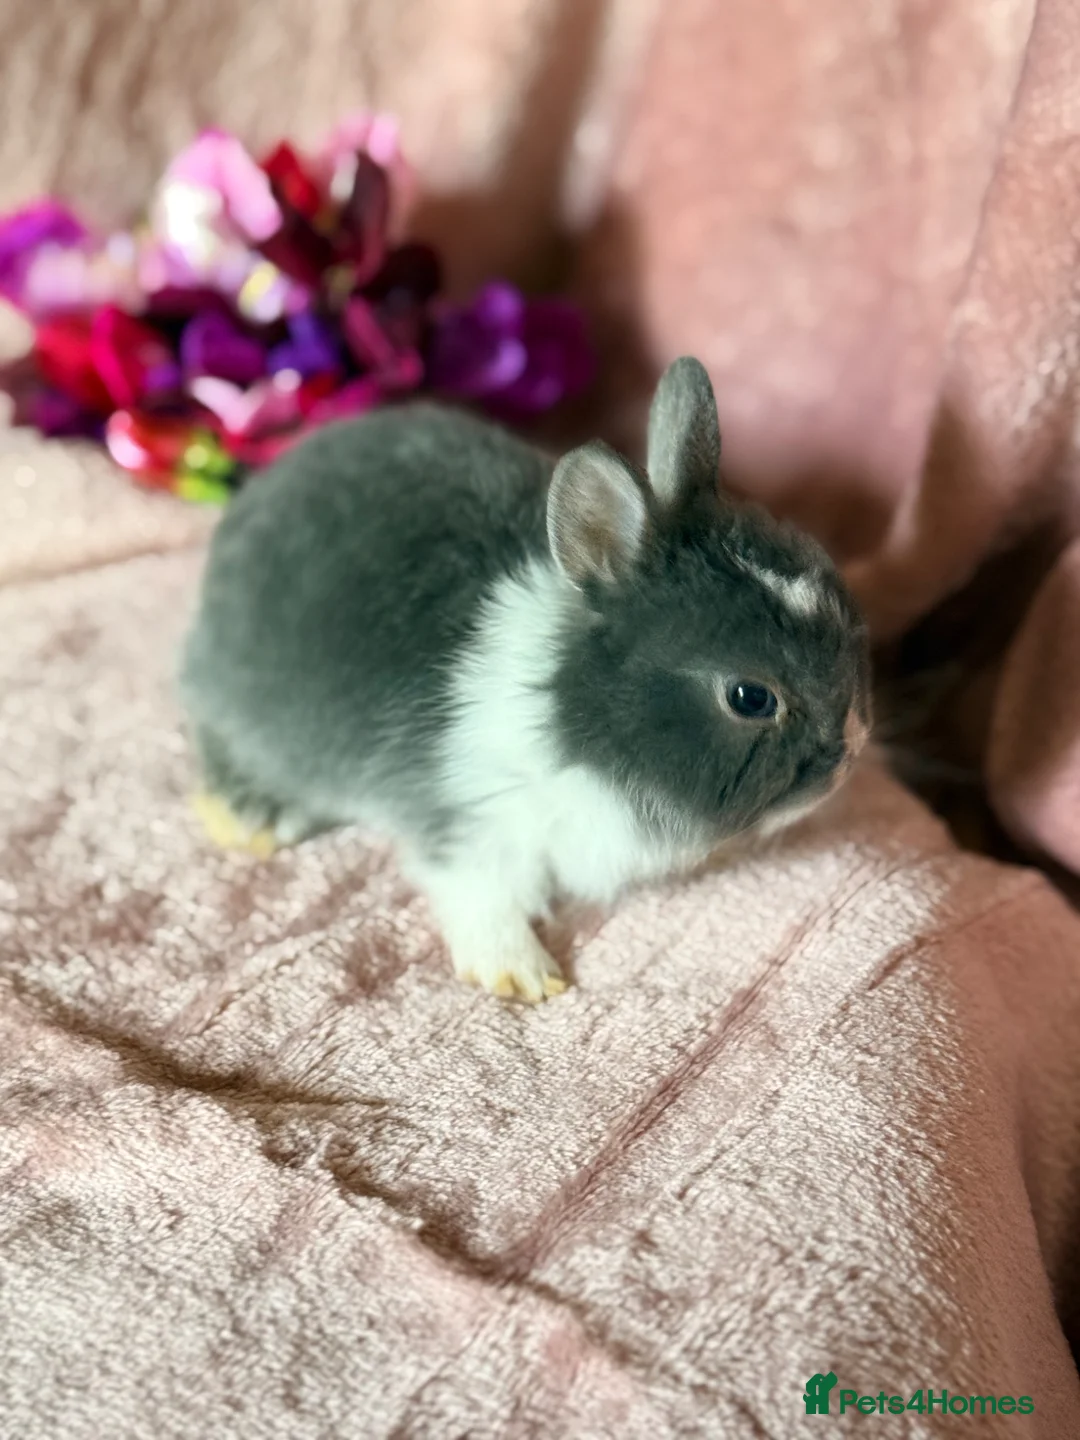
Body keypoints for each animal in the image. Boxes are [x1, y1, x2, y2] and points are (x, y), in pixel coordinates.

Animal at [179, 356, 870, 1002]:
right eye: (750, 698)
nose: (848, 758)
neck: (572, 710)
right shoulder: (468, 821)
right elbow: (478, 896)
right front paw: (522, 976)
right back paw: (250, 816)